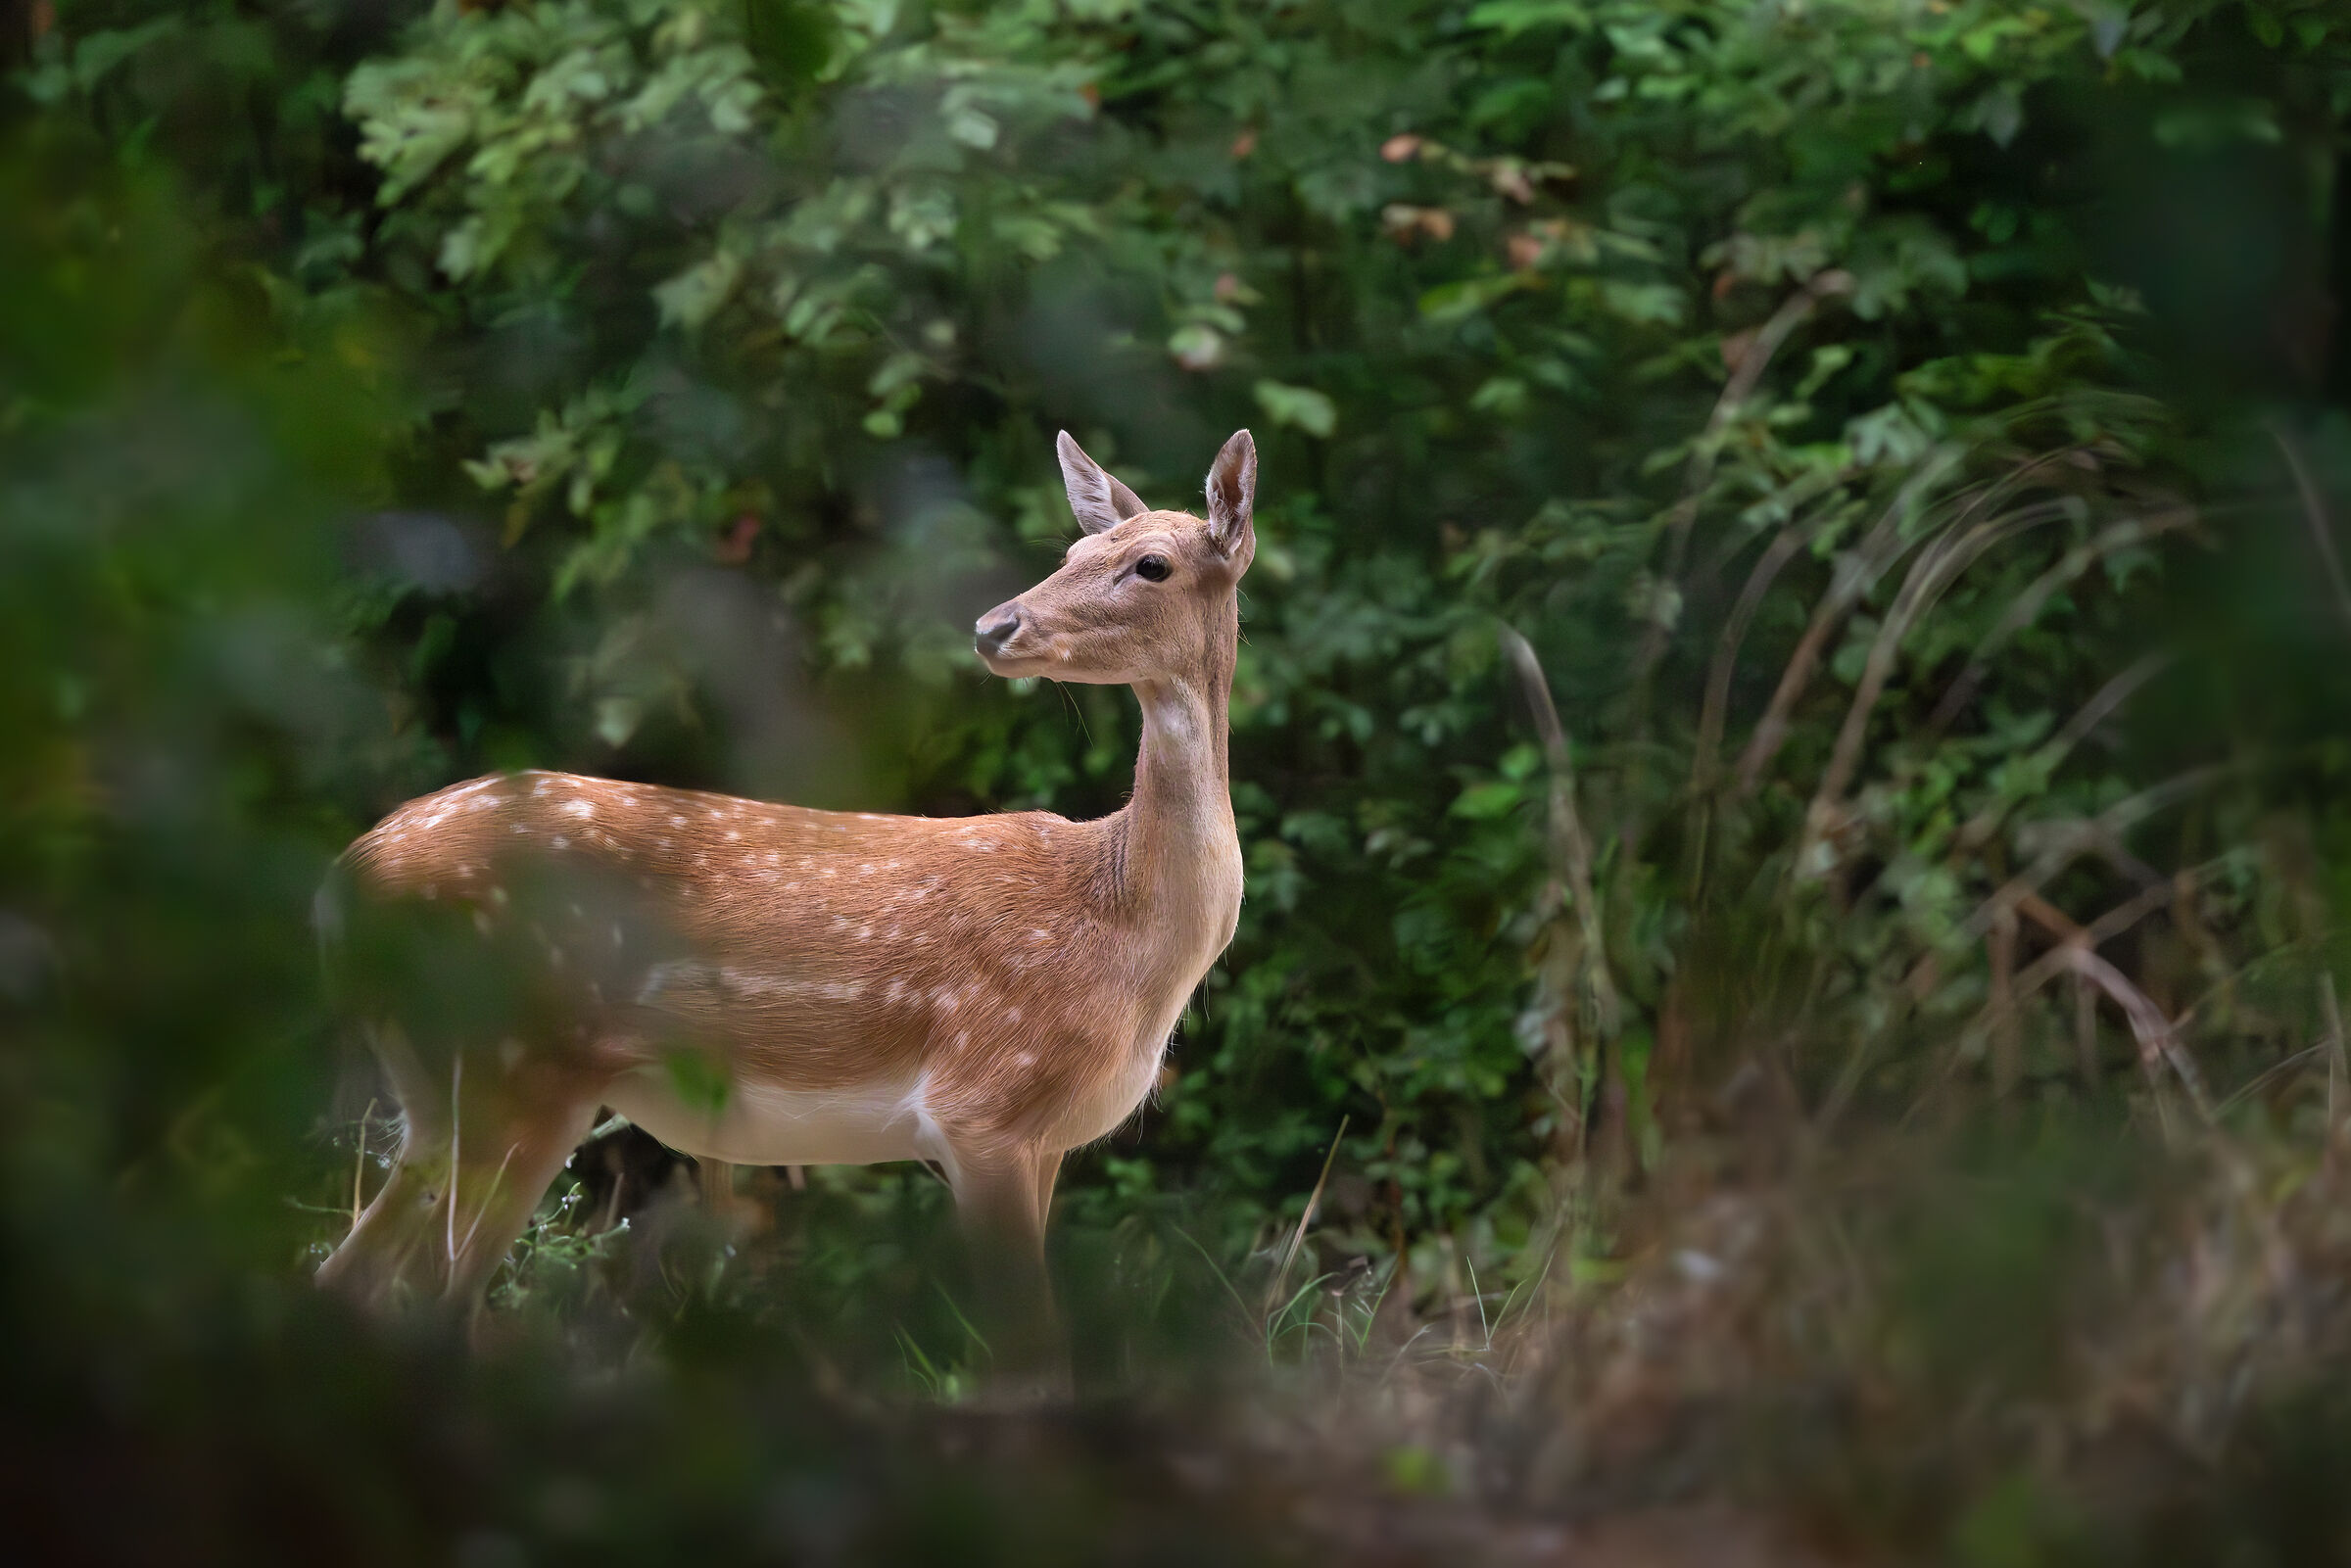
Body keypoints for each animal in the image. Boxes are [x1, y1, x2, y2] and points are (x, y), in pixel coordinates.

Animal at [314, 429, 1259, 1377]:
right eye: (1069, 554)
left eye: (1149, 563)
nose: (996, 626)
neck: (1123, 932)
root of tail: (350, 874)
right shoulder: (982, 1104)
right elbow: (1031, 1353)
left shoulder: (1048, 1138)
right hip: (514, 1064)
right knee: (435, 1299)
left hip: (444, 1093)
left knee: (348, 1276)